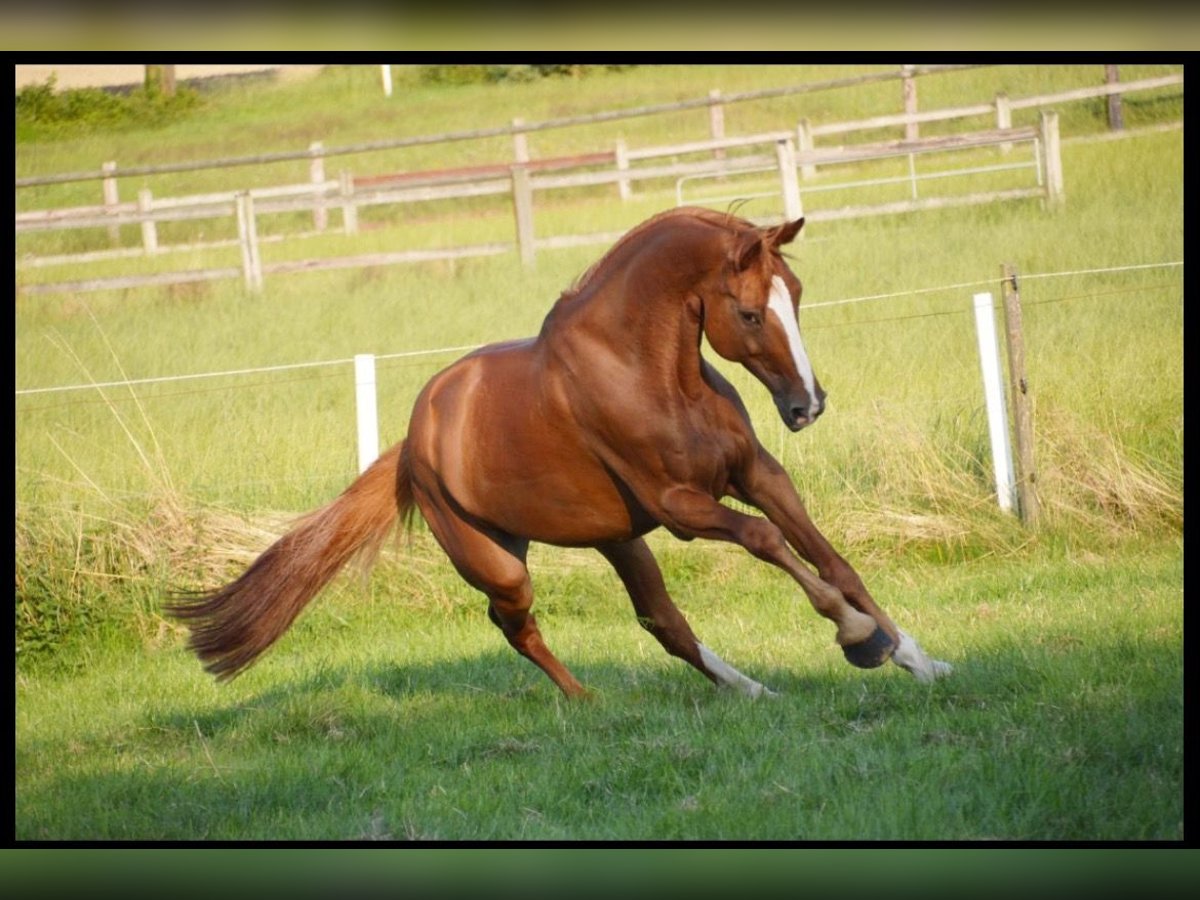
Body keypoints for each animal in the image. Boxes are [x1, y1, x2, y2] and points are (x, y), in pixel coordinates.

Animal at [166, 210, 945, 696]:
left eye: (799, 296)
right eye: (751, 314)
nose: (807, 405)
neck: (645, 370)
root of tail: (414, 444)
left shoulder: (757, 474)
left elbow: (829, 557)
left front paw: (917, 657)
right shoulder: (684, 508)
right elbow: (767, 542)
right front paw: (860, 639)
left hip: (618, 539)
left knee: (662, 621)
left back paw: (752, 688)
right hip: (502, 564)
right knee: (515, 626)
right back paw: (588, 701)